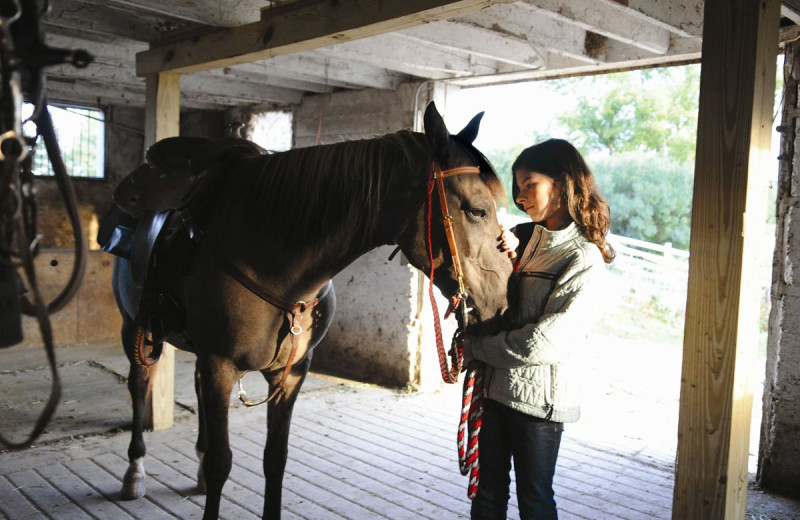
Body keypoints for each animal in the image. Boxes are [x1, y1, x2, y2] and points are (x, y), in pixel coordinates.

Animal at [104, 99, 512, 516]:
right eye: (477, 210)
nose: (501, 302)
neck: (270, 260)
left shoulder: (290, 373)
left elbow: (275, 459)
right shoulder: (220, 364)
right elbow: (222, 462)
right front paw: (201, 471)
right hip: (136, 329)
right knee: (139, 385)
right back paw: (134, 471)